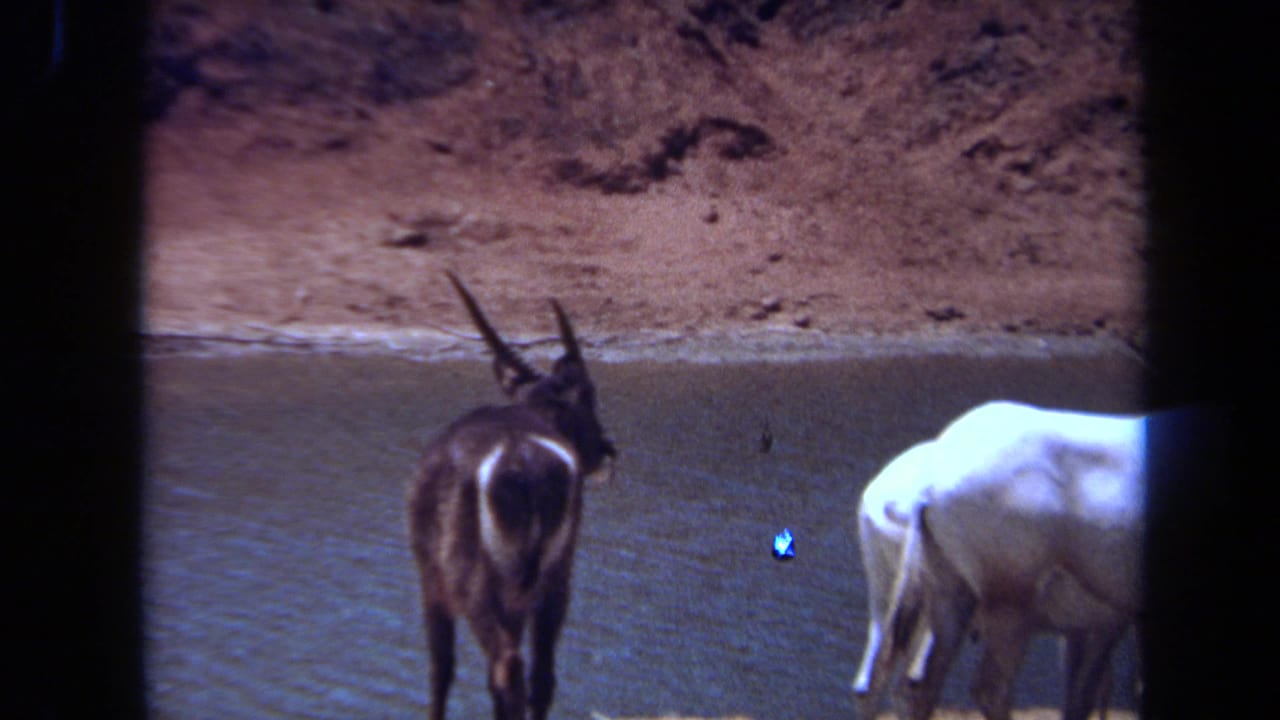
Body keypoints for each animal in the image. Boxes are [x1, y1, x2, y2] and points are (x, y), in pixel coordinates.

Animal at [407, 272, 616, 720]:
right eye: (588, 393)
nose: (606, 450)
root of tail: (522, 461)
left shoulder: (431, 580)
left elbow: (441, 670)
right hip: (551, 579)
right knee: (539, 676)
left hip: (478, 584)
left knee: (506, 667)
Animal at [854, 401, 1144, 720]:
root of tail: (926, 488)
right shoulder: (1102, 626)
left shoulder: (1093, 626)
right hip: (1009, 601)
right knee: (988, 688)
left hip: (928, 597)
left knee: (888, 685)